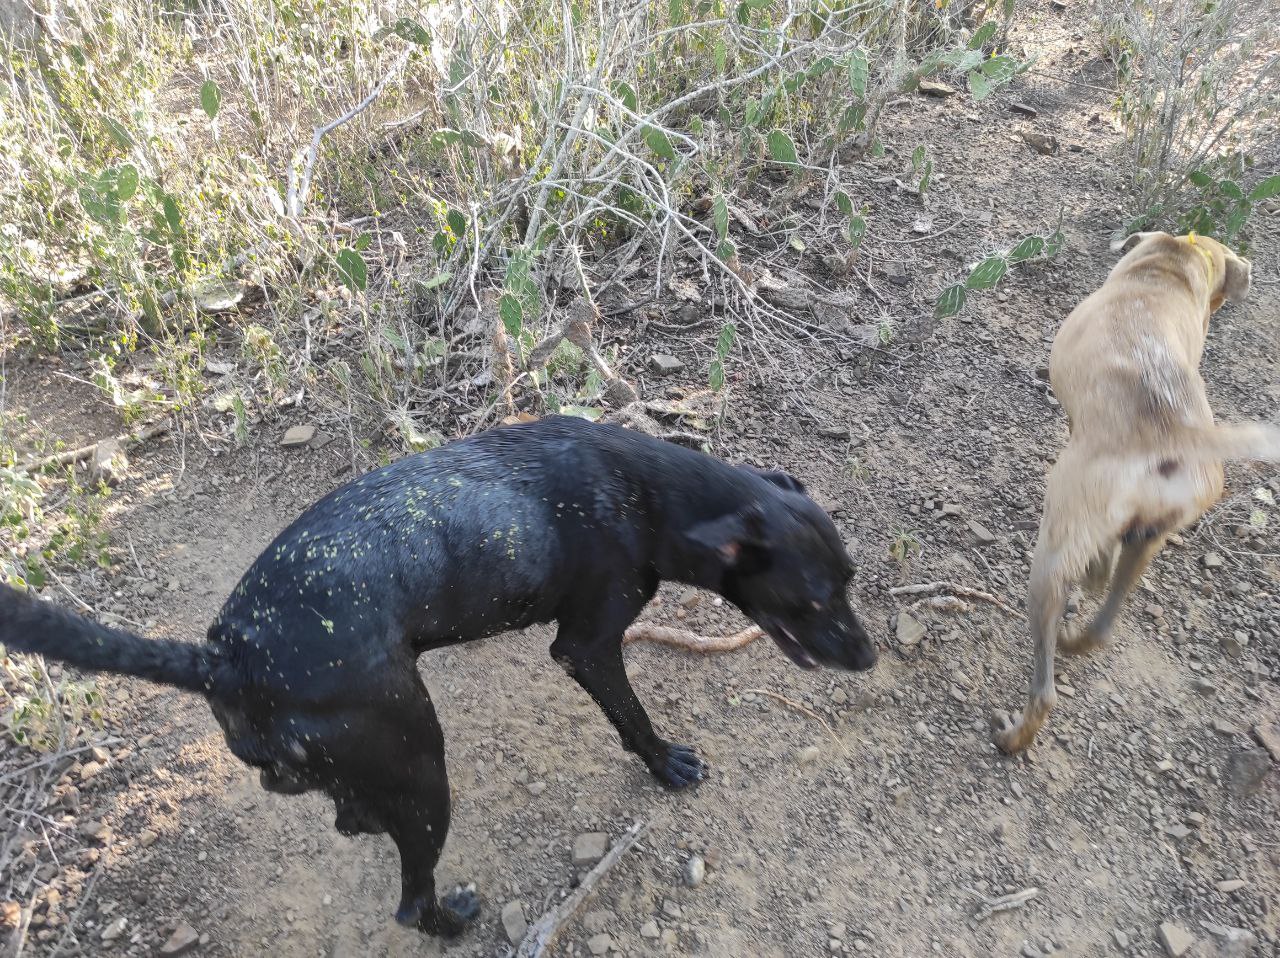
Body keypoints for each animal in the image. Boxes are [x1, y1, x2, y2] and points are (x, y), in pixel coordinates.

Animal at [0, 417, 875, 937]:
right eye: (810, 600)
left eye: (850, 579)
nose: (868, 658)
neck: (646, 492)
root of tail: (229, 653)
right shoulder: (588, 647)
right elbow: (632, 717)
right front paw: (666, 765)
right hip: (424, 770)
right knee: (410, 902)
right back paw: (452, 920)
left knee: (330, 802)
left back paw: (351, 814)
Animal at [993, 231, 1280, 758]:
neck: (1169, 266)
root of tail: (1173, 437)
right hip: (1149, 537)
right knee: (1104, 622)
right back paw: (1077, 634)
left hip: (1056, 546)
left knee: (1047, 687)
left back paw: (1014, 735)